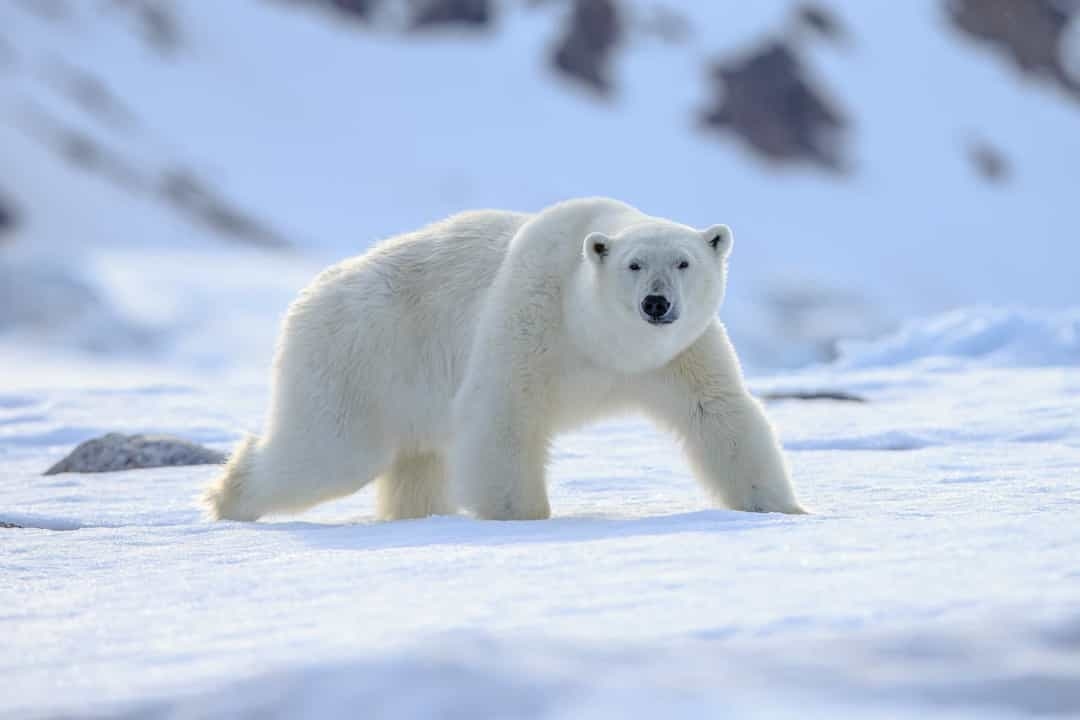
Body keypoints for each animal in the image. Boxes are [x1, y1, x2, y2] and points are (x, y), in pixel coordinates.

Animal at [204, 198, 803, 524]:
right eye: (634, 264)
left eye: (683, 262)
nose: (657, 303)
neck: (600, 339)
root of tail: (310, 295)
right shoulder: (532, 314)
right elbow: (504, 413)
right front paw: (522, 517)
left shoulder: (679, 354)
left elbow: (718, 413)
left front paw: (782, 509)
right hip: (359, 356)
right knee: (329, 452)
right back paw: (227, 497)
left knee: (417, 464)